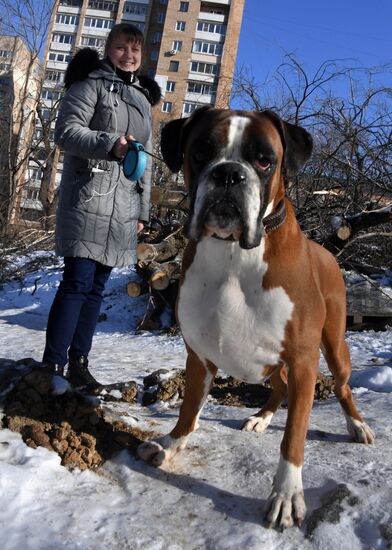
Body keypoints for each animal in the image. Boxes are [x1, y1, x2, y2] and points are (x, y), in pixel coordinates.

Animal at [138, 106, 374, 532]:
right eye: (201, 152)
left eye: (265, 160)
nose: (229, 174)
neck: (233, 253)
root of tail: (328, 251)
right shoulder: (199, 357)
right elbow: (188, 409)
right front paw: (171, 443)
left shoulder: (303, 361)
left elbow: (294, 434)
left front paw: (286, 496)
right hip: (268, 363)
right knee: (278, 387)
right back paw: (262, 418)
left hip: (333, 347)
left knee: (343, 386)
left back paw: (357, 425)